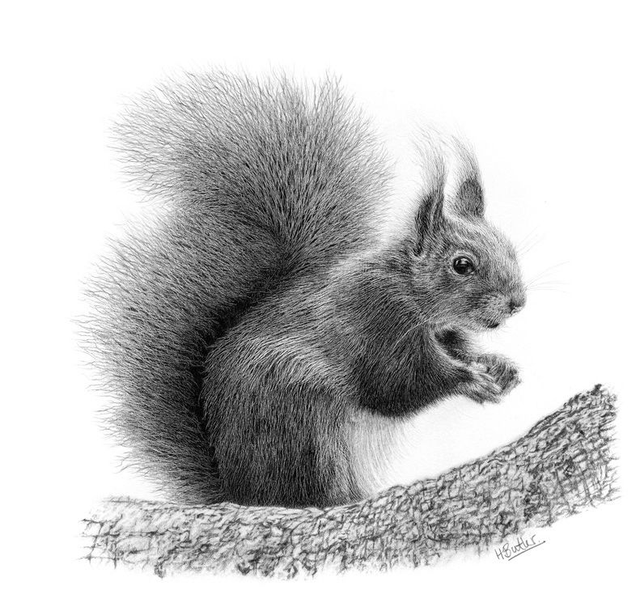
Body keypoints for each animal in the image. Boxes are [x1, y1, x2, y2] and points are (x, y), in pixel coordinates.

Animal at [86, 71, 526, 508]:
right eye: (462, 265)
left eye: (508, 247)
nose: (517, 303)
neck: (407, 290)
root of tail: (240, 492)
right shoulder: (377, 325)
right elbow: (398, 385)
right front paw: (469, 379)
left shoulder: (442, 332)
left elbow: (459, 350)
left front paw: (498, 364)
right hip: (304, 426)